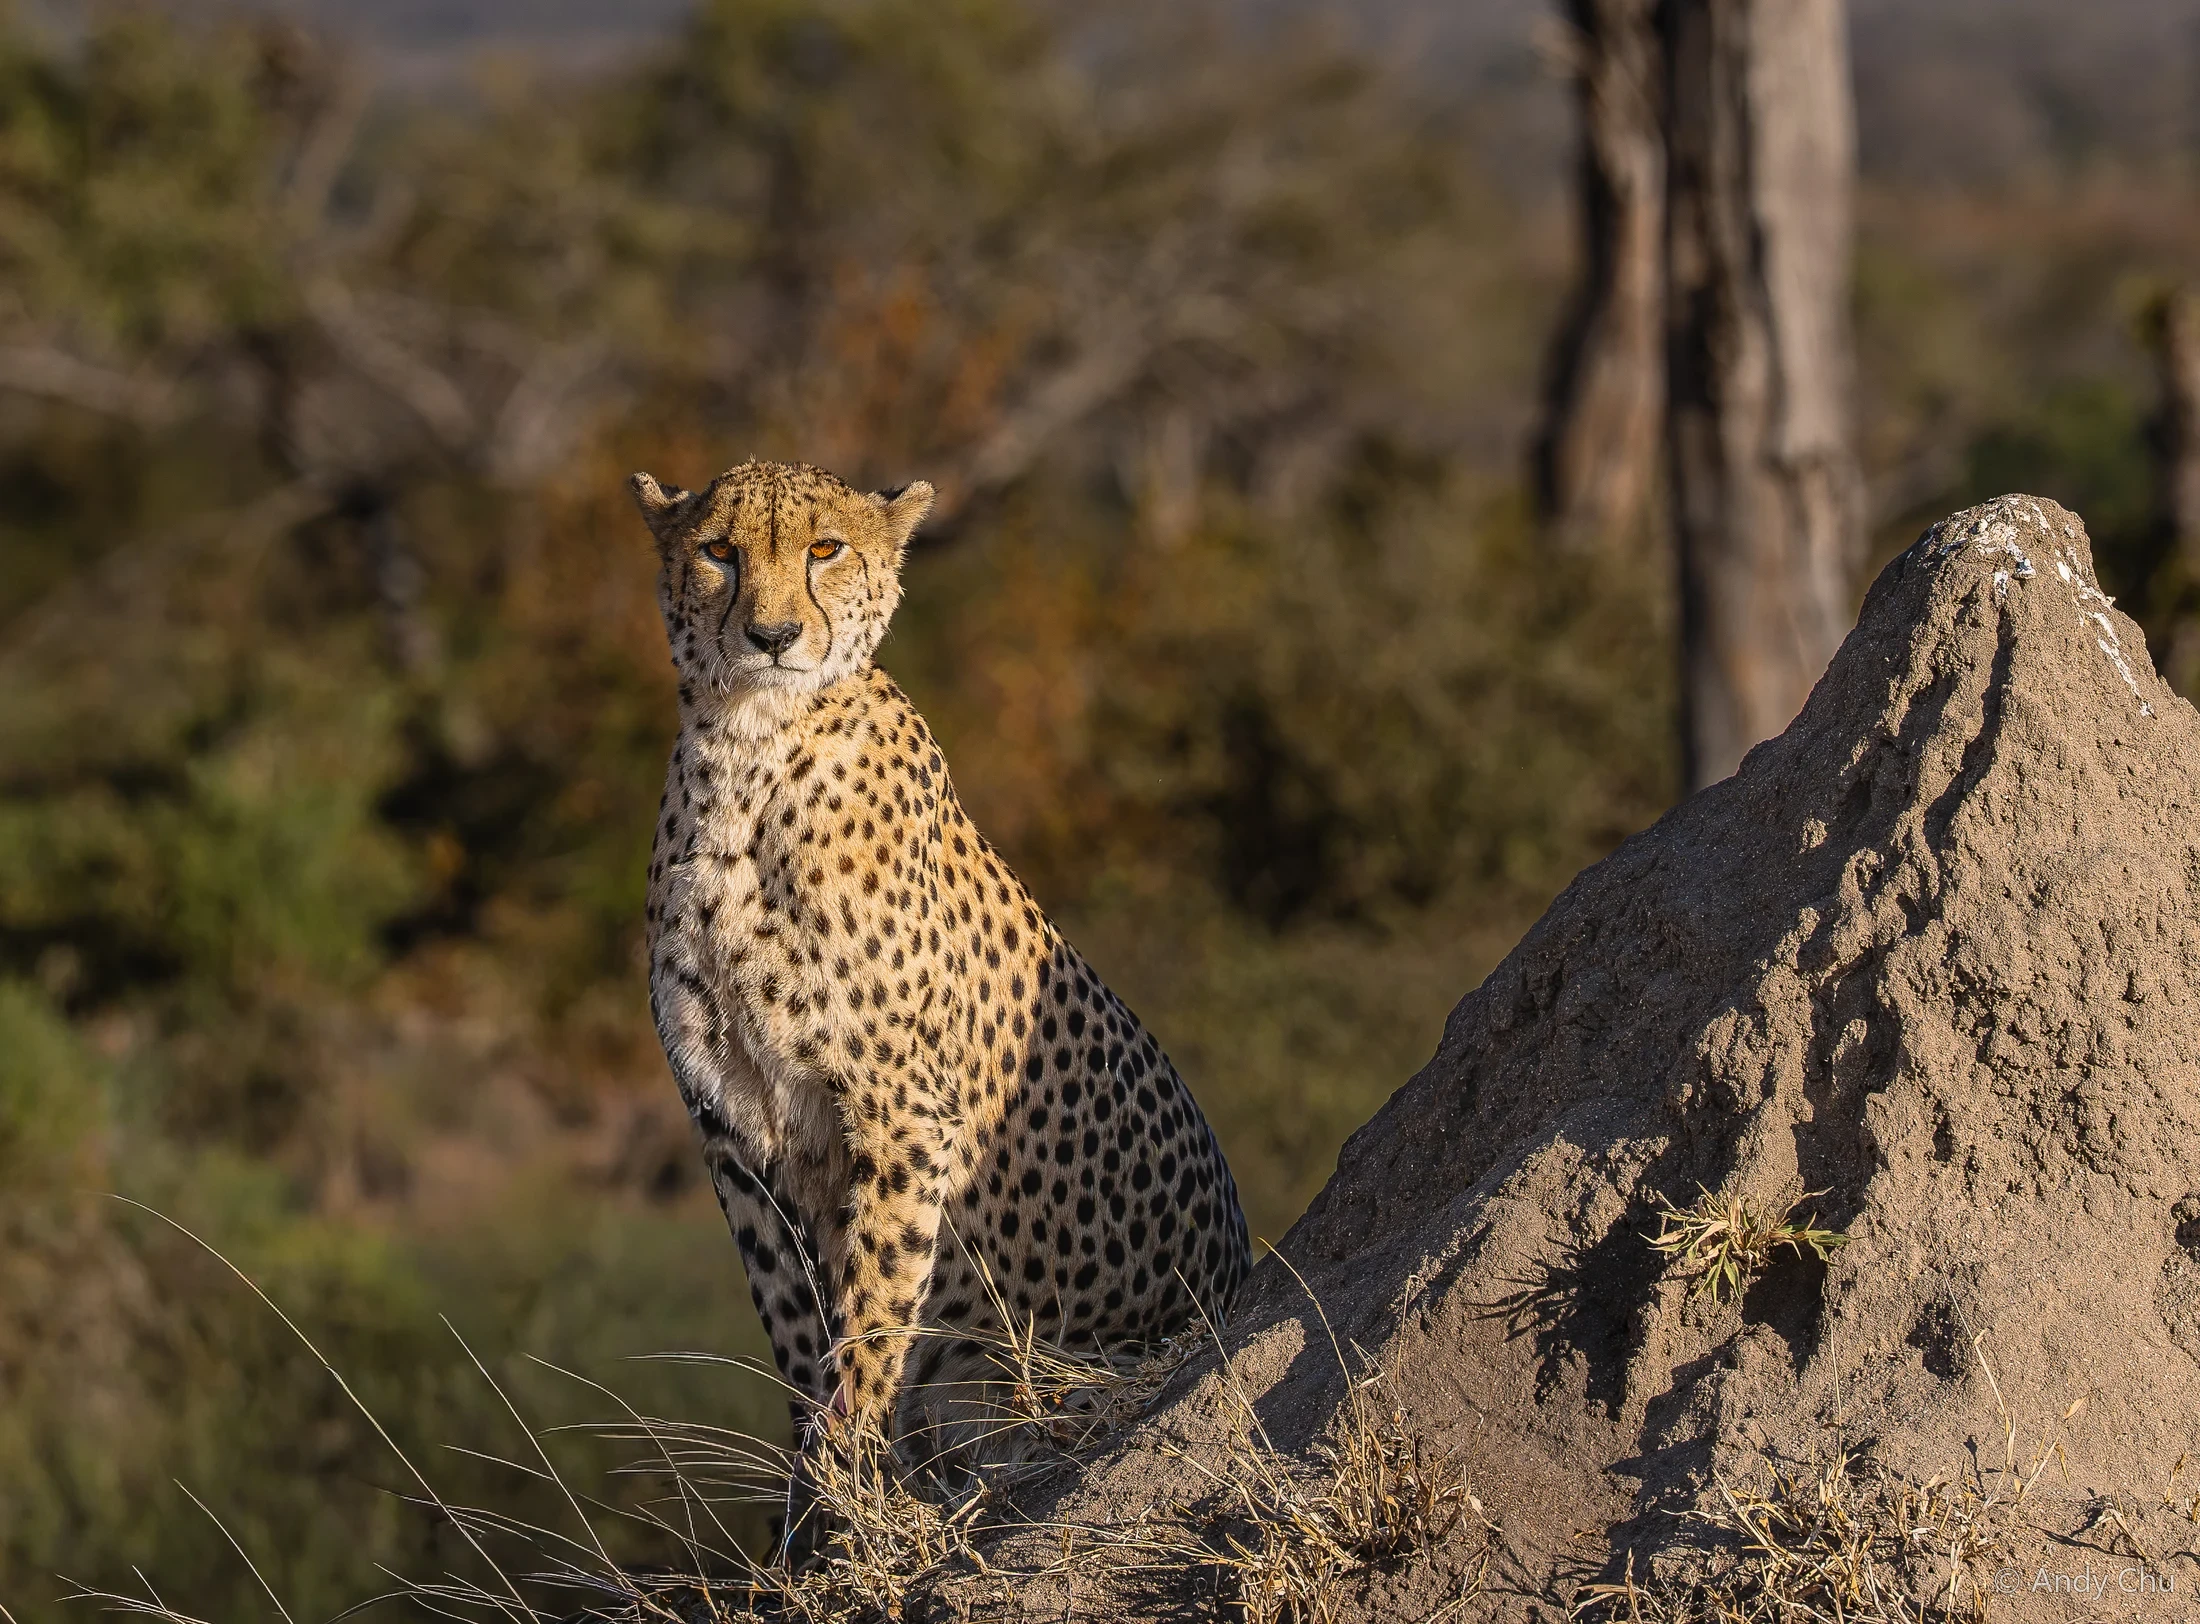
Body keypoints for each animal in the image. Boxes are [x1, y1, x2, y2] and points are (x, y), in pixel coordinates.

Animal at [629, 458, 1251, 1547]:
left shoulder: (899, 1113)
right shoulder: (734, 1124)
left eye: (825, 548)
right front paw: (809, 1515)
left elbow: (875, 1305)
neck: (747, 752)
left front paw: (851, 1488)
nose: (772, 635)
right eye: (719, 551)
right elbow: (799, 1324)